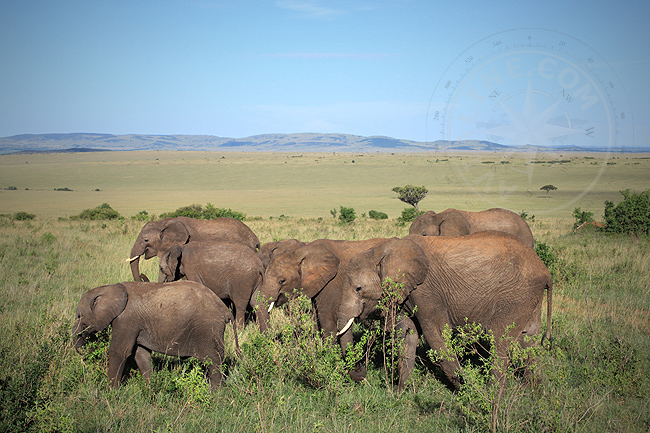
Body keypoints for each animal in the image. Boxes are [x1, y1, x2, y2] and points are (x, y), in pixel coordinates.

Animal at [72, 280, 238, 388]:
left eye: (79, 316)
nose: (89, 349)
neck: (110, 288)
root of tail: (225, 310)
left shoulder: (126, 319)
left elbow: (119, 352)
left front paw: (110, 392)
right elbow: (141, 354)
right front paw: (149, 388)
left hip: (208, 329)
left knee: (213, 361)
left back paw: (216, 393)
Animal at [334, 233, 552, 392]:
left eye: (358, 289)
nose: (361, 369)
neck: (384, 249)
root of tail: (545, 271)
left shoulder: (427, 292)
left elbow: (436, 335)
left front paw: (467, 390)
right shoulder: (408, 293)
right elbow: (408, 334)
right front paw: (401, 392)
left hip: (516, 296)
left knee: (500, 339)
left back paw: (491, 394)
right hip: (528, 298)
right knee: (528, 339)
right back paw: (534, 389)